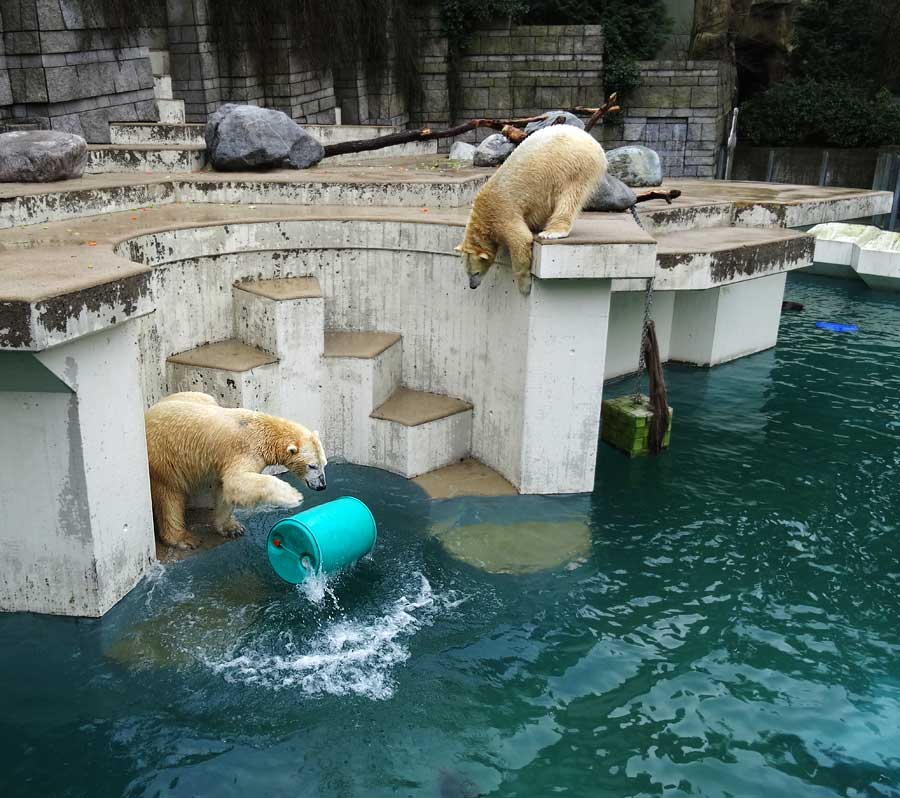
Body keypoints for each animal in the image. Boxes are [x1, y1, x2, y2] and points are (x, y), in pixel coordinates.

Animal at [146, 392, 328, 552]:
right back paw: (183, 539)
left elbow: (225, 488)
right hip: (164, 456)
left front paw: (232, 528)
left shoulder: (222, 461)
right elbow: (237, 481)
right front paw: (293, 496)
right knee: (169, 495)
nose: (322, 485)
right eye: (312, 466)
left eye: (324, 464)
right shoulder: (245, 450)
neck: (263, 431)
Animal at [458, 126, 604, 296]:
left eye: (475, 273)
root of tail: (594, 142)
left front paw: (525, 286)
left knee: (569, 197)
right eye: (466, 272)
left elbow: (520, 240)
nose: (472, 286)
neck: (483, 217)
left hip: (574, 165)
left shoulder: (501, 213)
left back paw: (552, 232)